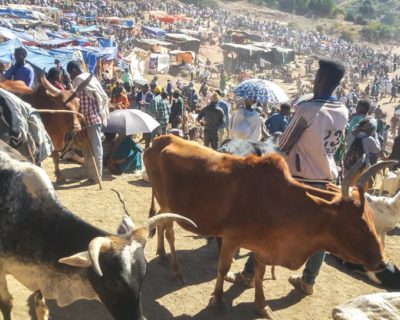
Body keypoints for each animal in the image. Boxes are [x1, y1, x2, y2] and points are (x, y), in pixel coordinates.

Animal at [145, 134, 390, 318]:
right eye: (358, 225)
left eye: (371, 219)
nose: (382, 262)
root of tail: (160, 139)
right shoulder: (231, 238)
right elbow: (223, 268)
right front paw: (218, 300)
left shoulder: (262, 245)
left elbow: (260, 274)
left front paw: (262, 306)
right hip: (166, 202)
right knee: (169, 231)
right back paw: (176, 269)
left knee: (160, 223)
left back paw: (162, 254)